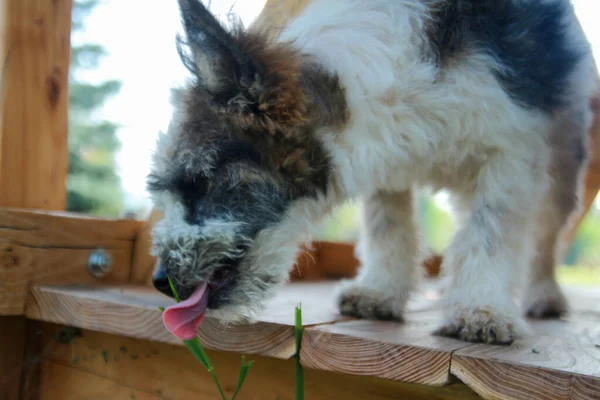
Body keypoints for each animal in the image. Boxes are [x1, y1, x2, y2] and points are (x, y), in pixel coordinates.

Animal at [146, 0, 600, 344]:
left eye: (197, 182)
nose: (159, 280)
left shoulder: (512, 150)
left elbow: (491, 232)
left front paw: (480, 309)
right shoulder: (387, 163)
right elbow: (388, 226)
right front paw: (380, 292)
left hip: (564, 158)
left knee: (545, 234)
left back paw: (543, 296)